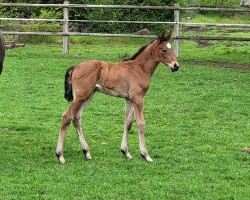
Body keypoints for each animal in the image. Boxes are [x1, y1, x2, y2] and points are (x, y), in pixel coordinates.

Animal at [55, 30, 179, 162]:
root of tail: (76, 66)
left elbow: (128, 122)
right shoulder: (138, 98)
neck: (140, 68)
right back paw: (60, 155)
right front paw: (145, 155)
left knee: (76, 118)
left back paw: (87, 152)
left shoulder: (129, 99)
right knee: (67, 116)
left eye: (172, 49)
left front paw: (126, 152)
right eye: (164, 50)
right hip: (81, 97)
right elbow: (141, 123)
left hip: (88, 96)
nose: (176, 66)